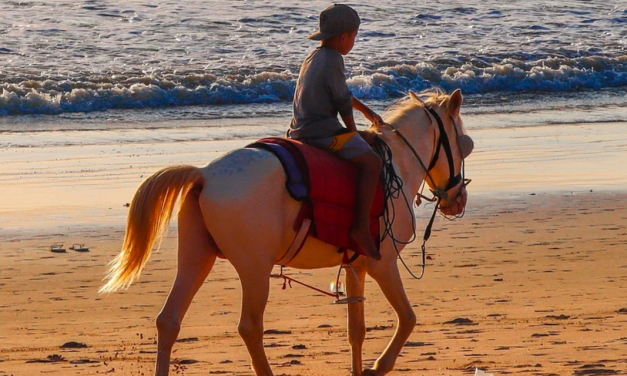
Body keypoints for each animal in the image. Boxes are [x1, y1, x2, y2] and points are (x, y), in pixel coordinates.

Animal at [102, 89, 476, 376]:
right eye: (464, 144)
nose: (458, 199)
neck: (396, 163)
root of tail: (204, 174)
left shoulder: (355, 266)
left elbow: (356, 331)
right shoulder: (382, 264)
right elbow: (408, 318)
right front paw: (378, 367)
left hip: (196, 258)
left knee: (169, 321)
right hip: (254, 269)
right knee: (250, 327)